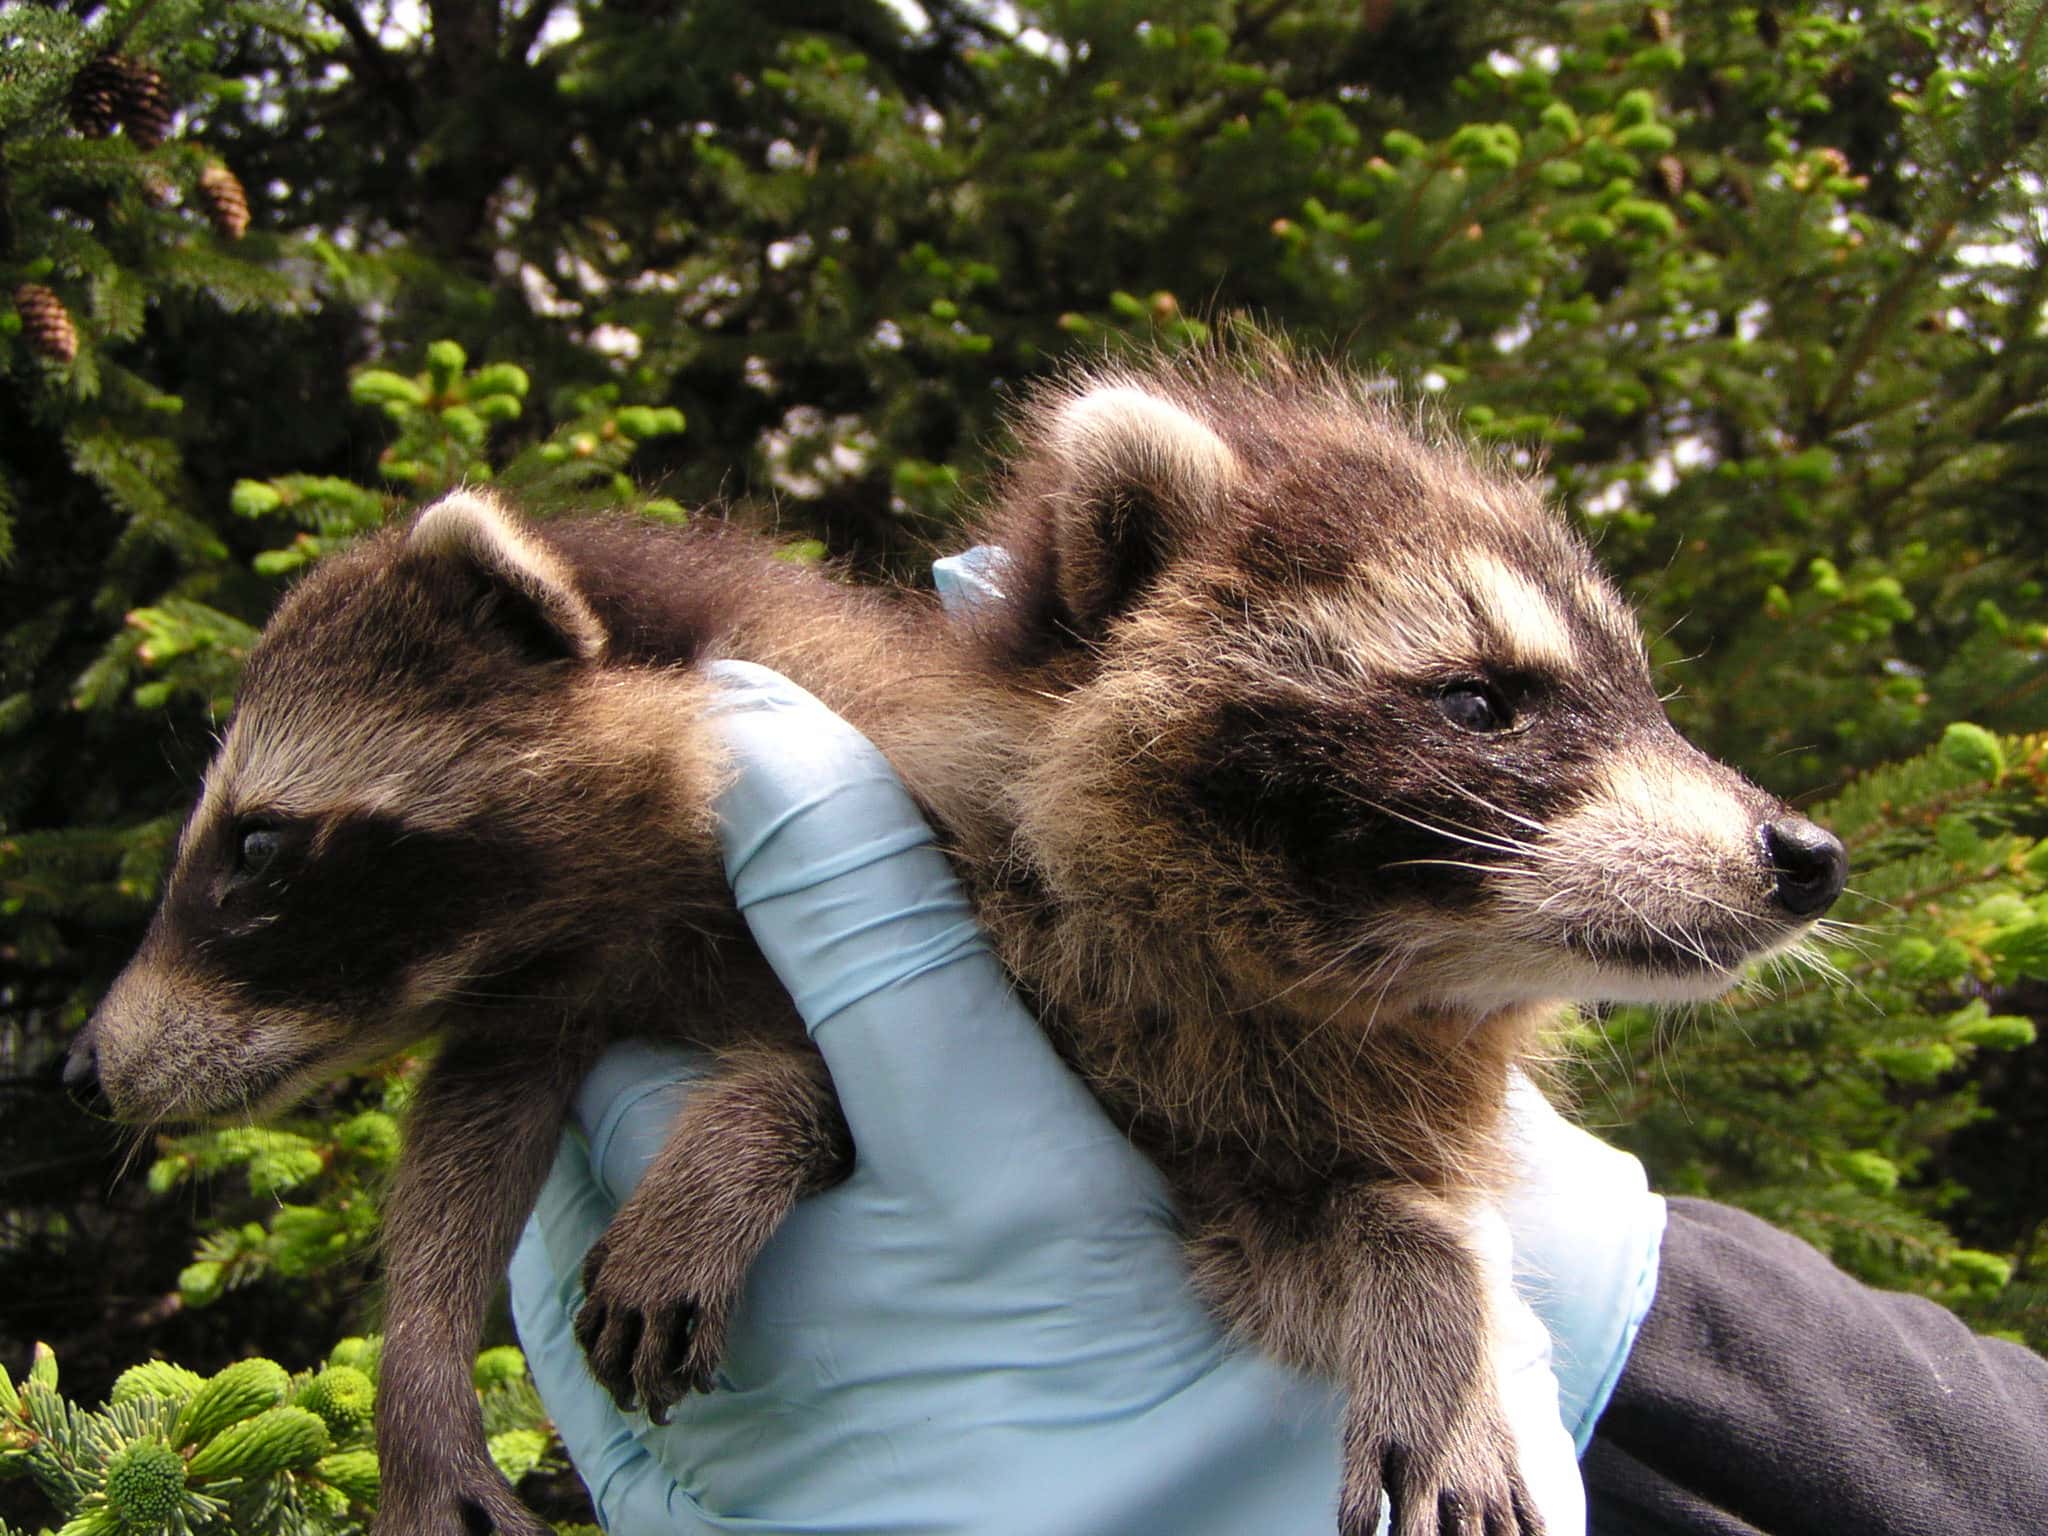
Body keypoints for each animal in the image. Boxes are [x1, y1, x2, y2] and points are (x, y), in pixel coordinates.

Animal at [68, 346, 1845, 1536]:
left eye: (256, 850)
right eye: (1482, 702)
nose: (85, 1068)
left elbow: (1363, 1226)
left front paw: (1446, 1319)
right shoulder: (551, 988)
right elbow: (470, 1145)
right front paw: (423, 1374)